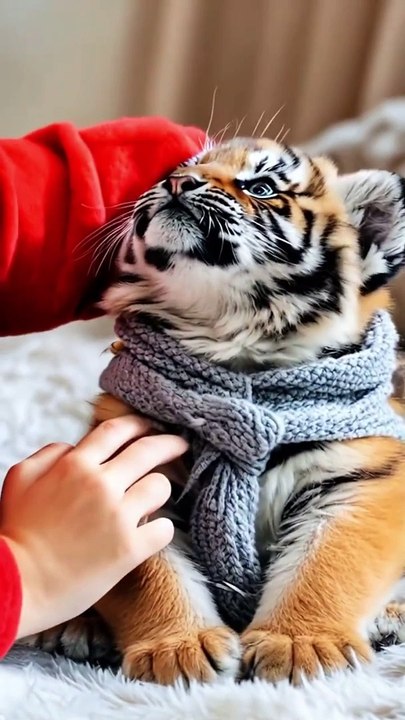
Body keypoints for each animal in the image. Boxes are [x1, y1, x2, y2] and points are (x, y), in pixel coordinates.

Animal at [24, 137, 405, 685]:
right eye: (184, 168)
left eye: (262, 186)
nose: (179, 182)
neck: (232, 341)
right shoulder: (136, 472)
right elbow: (152, 574)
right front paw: (179, 650)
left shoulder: (358, 476)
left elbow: (326, 563)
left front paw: (300, 646)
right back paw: (75, 627)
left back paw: (388, 619)